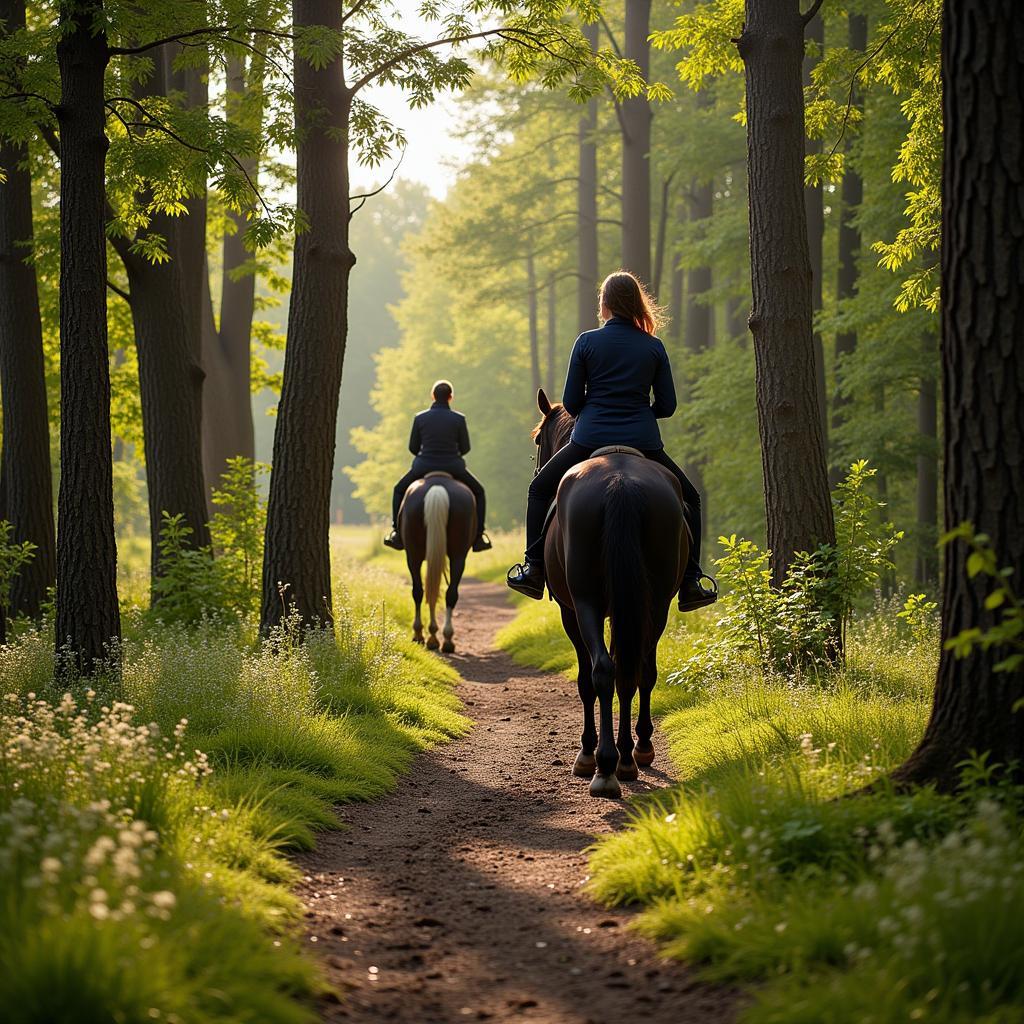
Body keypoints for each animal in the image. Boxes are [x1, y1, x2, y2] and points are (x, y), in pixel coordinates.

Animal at [401, 473, 477, 651]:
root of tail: (437, 486)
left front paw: (431, 634)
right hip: (457, 556)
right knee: (447, 593)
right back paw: (443, 638)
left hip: (414, 555)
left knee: (421, 592)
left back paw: (426, 635)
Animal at [528, 387, 688, 794]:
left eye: (537, 439)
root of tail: (620, 482)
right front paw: (626, 751)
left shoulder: (570, 610)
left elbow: (587, 679)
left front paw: (588, 754)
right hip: (655, 603)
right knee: (636, 669)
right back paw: (630, 757)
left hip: (585, 602)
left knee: (602, 670)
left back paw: (603, 765)